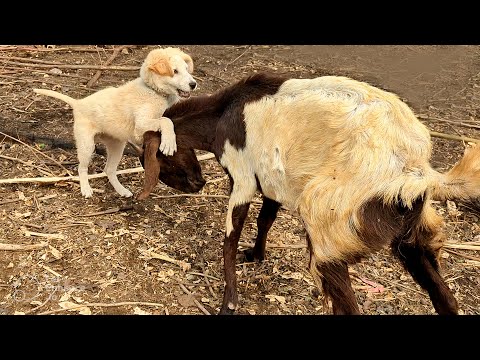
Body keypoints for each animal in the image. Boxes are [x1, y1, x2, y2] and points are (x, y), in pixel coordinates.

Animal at [33, 46, 197, 198]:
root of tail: (78, 103)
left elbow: (169, 119)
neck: (154, 91)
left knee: (109, 170)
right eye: (175, 71)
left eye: (186, 69)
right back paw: (86, 189)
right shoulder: (140, 126)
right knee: (82, 168)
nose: (193, 84)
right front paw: (169, 144)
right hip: (87, 145)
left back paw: (122, 191)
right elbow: (165, 120)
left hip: (117, 146)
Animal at [137, 71, 480, 314]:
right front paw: (257, 255)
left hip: (330, 225)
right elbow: (265, 220)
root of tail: (414, 168)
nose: (197, 185)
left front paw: (229, 302)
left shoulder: (243, 177)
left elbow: (229, 239)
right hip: (411, 232)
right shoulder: (272, 180)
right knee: (445, 299)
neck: (223, 115)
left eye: (155, 160)